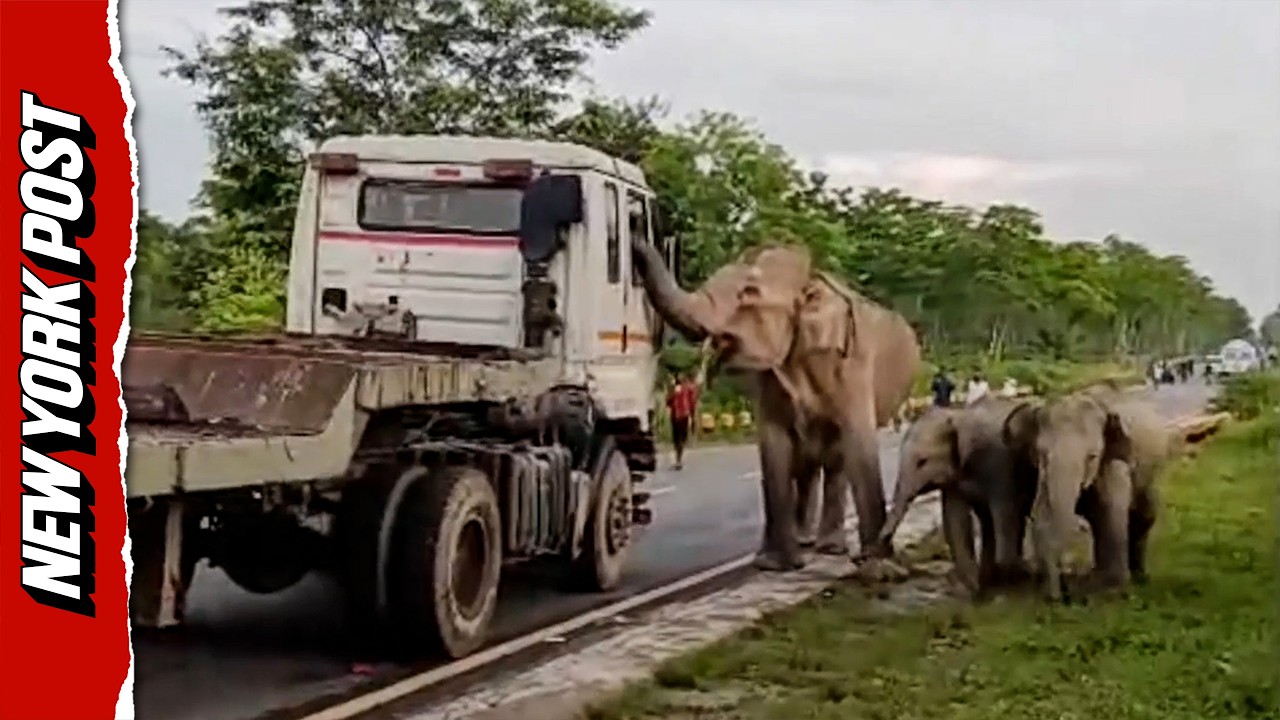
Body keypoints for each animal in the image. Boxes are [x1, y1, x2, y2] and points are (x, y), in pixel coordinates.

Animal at [631, 239, 922, 573]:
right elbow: (774, 446)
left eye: (749, 293)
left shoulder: (849, 364)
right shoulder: (771, 377)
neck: (808, 283)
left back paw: (830, 547)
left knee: (834, 460)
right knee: (809, 462)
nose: (635, 239)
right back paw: (806, 542)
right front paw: (775, 565)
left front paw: (879, 567)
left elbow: (858, 444)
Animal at [878, 397, 1038, 596]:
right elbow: (955, 518)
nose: (883, 543)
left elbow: (1004, 511)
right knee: (989, 521)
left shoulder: (998, 463)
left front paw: (1007, 581)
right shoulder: (953, 480)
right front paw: (971, 589)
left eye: (922, 462)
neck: (957, 415)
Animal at [1002, 389, 1173, 601]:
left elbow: (1111, 508)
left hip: (1151, 475)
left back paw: (1139, 577)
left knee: (1144, 516)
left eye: (1092, 456)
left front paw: (1114, 590)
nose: (1058, 596)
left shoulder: (1114, 460)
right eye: (1042, 454)